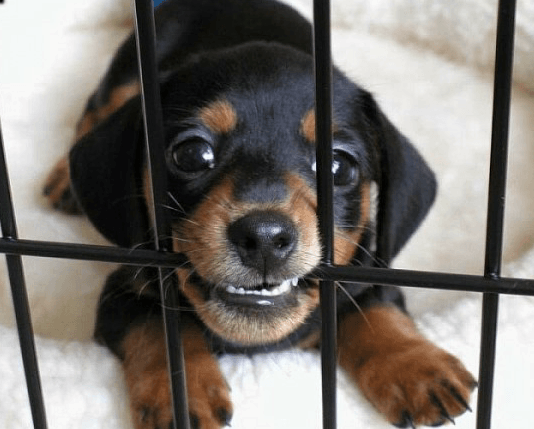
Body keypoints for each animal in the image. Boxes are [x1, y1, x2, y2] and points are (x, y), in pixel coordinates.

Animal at [44, 0, 480, 426]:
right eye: (191, 154)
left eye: (339, 167)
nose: (265, 238)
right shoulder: (124, 290)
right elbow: (160, 327)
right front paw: (182, 396)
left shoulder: (365, 269)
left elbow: (375, 307)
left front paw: (417, 366)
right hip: (126, 72)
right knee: (94, 109)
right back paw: (65, 179)